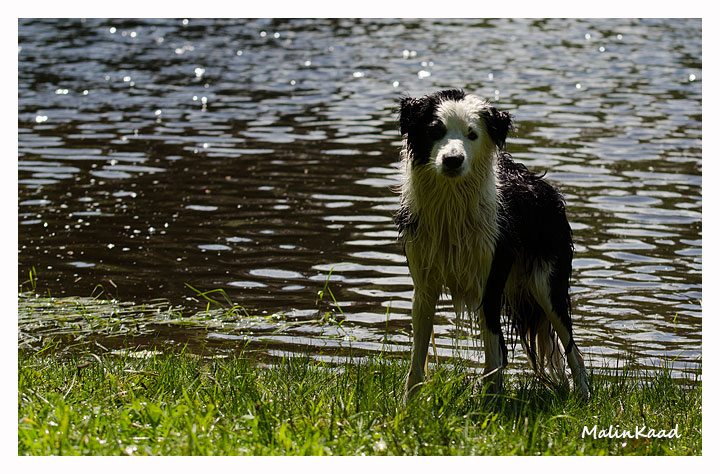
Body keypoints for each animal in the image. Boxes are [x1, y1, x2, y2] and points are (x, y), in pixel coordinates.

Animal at [395, 89, 589, 402]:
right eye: (435, 130)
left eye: (472, 135)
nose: (452, 159)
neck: (453, 204)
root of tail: (544, 186)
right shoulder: (424, 285)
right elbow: (417, 356)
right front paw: (408, 405)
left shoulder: (490, 283)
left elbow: (494, 356)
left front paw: (490, 404)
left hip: (547, 285)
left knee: (572, 347)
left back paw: (583, 394)